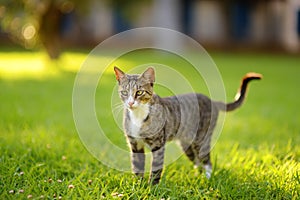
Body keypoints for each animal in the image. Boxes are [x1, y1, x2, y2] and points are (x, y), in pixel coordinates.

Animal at [113, 67, 262, 184]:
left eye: (139, 92)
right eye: (124, 92)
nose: (130, 103)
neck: (138, 116)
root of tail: (212, 100)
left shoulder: (158, 144)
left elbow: (156, 168)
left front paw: (151, 188)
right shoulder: (135, 144)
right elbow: (137, 166)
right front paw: (138, 186)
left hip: (201, 138)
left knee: (206, 161)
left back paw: (208, 179)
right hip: (186, 144)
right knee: (197, 161)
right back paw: (197, 177)